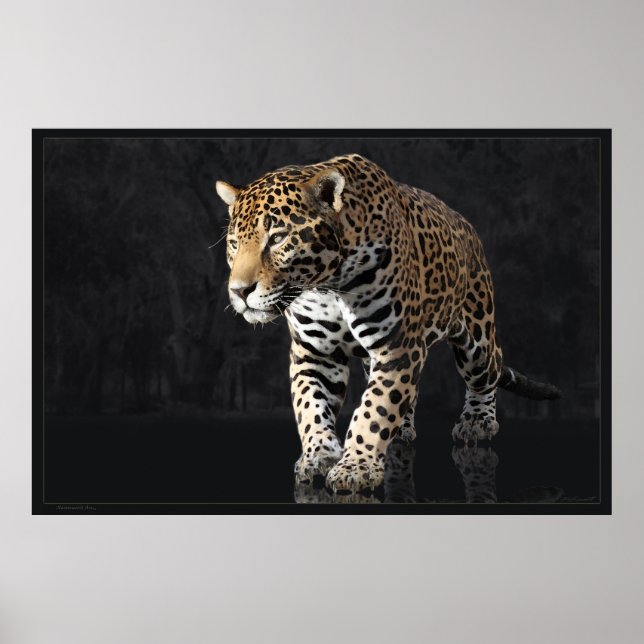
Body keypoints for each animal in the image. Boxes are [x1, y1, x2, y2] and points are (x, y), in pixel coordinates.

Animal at [215, 153, 561, 493]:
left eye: (278, 238)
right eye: (234, 244)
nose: (239, 291)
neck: (329, 285)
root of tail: (467, 227)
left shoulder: (397, 346)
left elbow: (376, 408)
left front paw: (356, 466)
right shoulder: (315, 353)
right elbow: (311, 405)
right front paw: (319, 456)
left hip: (478, 336)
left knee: (486, 373)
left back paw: (477, 422)